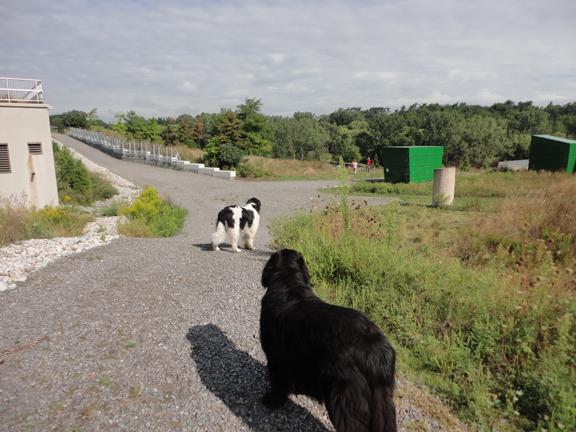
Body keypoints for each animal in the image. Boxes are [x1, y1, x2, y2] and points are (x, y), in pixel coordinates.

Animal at [260, 249, 397, 432]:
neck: (288, 282)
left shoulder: (276, 360)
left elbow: (278, 387)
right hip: (383, 404)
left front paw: (272, 402)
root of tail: (375, 349)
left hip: (343, 402)